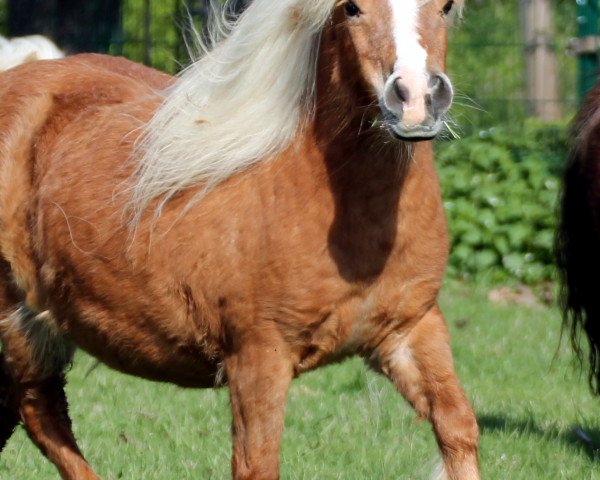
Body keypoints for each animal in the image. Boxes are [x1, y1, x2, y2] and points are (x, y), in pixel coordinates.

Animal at [0, 0, 478, 480]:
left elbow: (457, 426)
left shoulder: (411, 329)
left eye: (446, 6)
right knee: (39, 411)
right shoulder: (258, 357)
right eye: (352, 9)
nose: (416, 99)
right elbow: (257, 463)